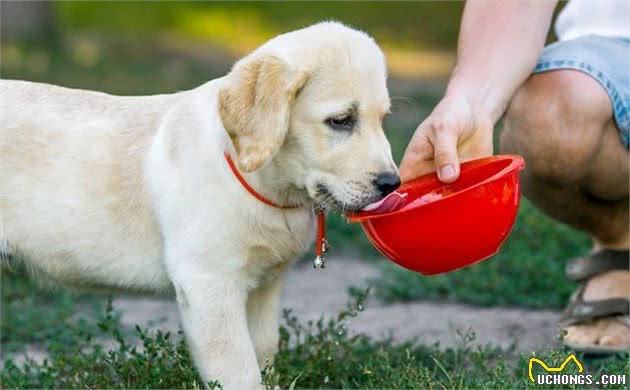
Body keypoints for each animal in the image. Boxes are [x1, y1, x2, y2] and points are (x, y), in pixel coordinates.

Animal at [0, 22, 400, 388]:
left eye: (383, 119)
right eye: (341, 121)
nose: (391, 184)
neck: (259, 181)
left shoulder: (265, 287)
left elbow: (264, 354)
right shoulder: (209, 282)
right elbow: (240, 372)